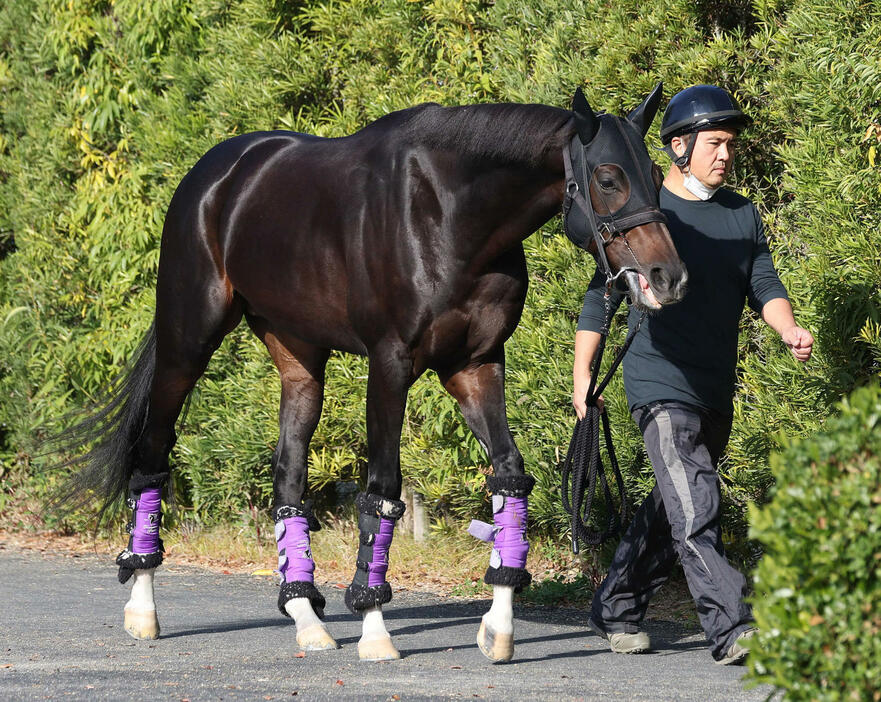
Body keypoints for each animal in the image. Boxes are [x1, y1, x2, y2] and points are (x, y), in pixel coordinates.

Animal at [58, 85, 688, 664]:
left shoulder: (475, 365)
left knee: (288, 476)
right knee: (152, 453)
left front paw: (498, 628)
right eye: (608, 178)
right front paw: (375, 628)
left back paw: (306, 617)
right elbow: (382, 491)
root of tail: (214, 176)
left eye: (658, 173)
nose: (668, 277)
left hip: (300, 359)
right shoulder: (390, 365)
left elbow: (508, 476)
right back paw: (143, 609)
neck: (447, 215)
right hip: (187, 343)